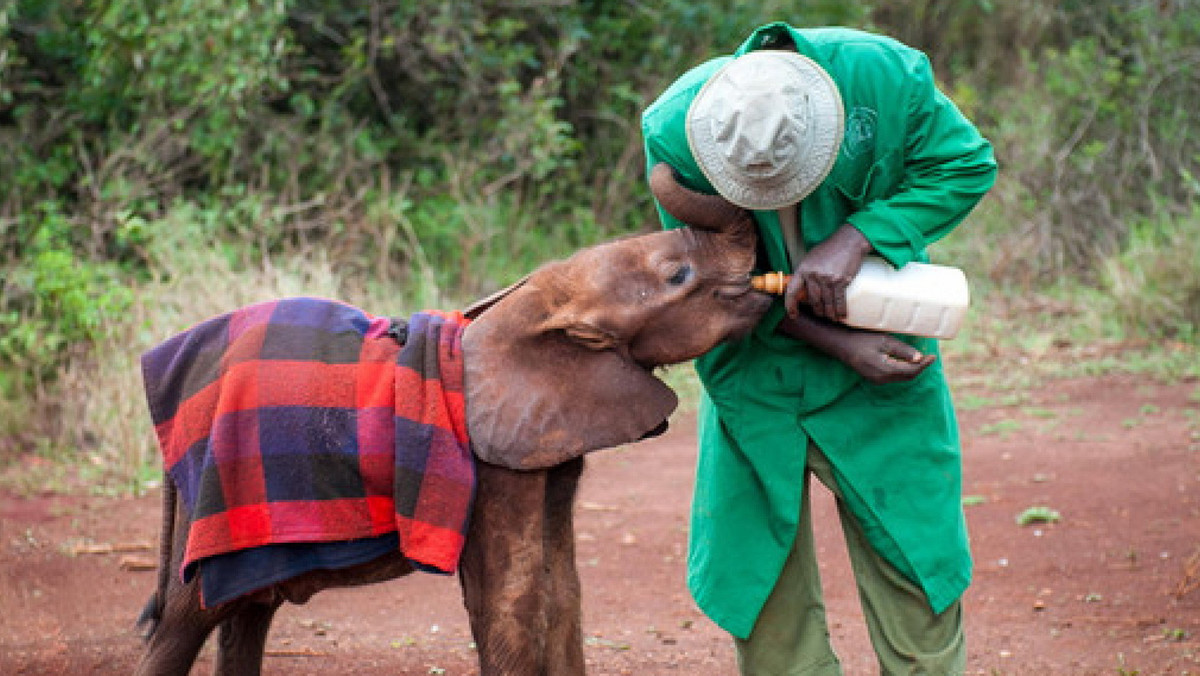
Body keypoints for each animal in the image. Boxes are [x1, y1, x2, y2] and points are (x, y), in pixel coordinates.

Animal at [133, 165, 768, 676]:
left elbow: (563, 595)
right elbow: (513, 601)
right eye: (678, 276)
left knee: (248, 610)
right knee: (186, 619)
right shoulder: (493, 466)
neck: (530, 304)